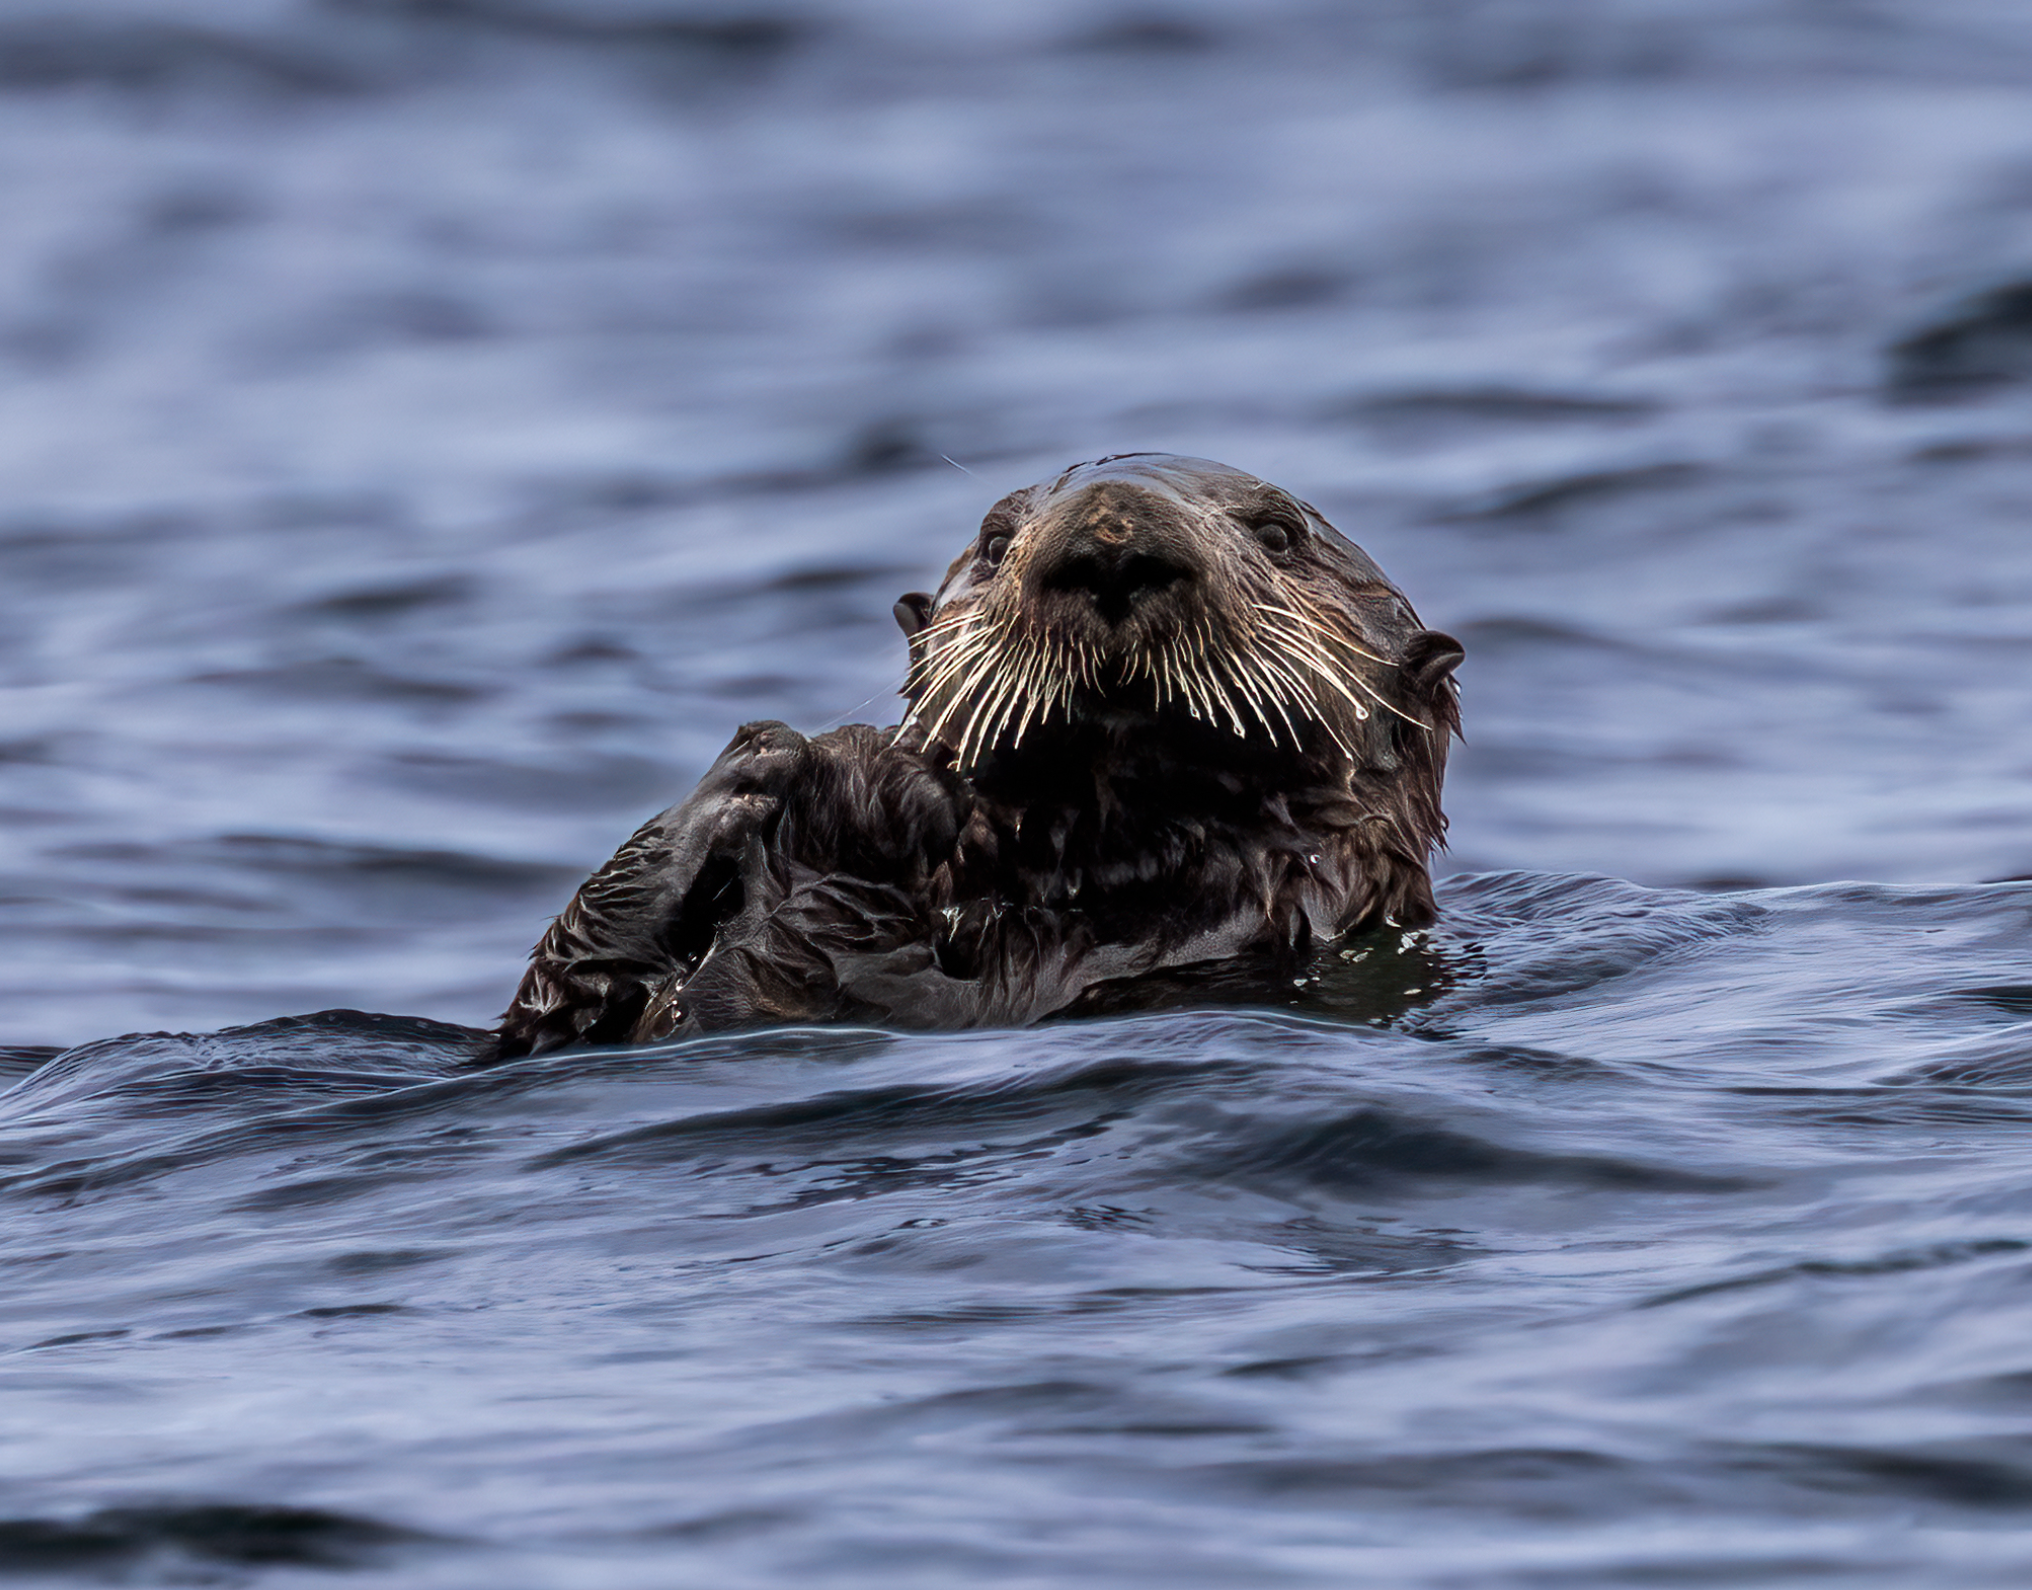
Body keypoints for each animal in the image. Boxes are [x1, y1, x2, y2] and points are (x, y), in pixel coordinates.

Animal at [495, 454, 1462, 1057]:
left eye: (1280, 536)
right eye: (996, 543)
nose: (1112, 543)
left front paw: (868, 779)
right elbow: (542, 1016)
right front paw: (762, 765)